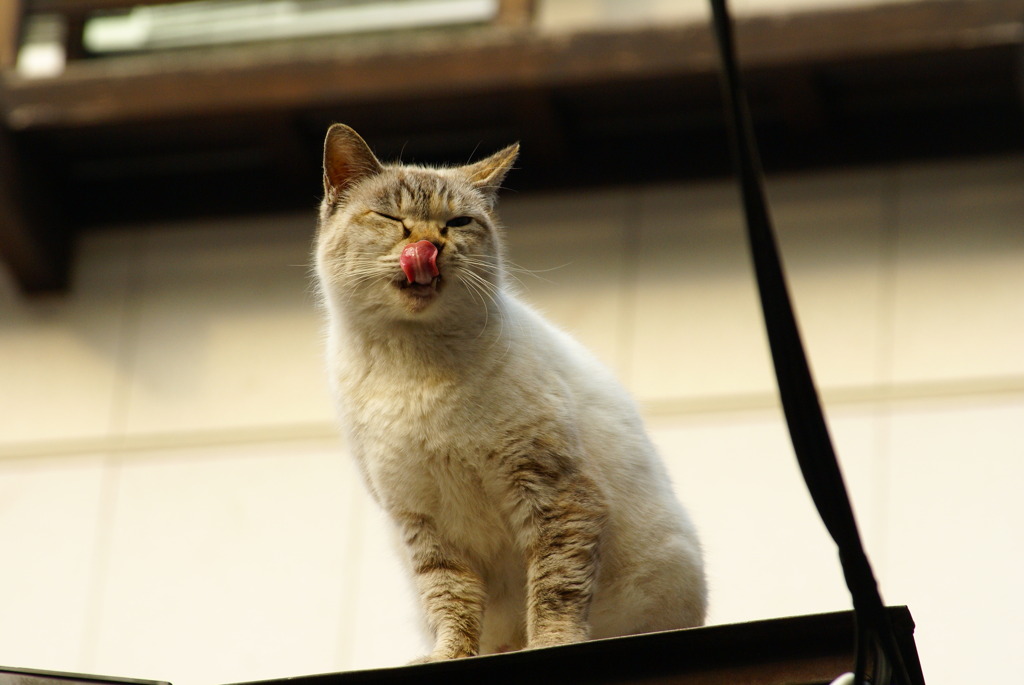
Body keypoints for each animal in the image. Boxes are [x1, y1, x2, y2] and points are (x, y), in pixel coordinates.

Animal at [315, 124, 708, 663]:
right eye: (392, 218)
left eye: (458, 222)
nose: (429, 246)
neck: (416, 366)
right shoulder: (425, 521)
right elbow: (451, 600)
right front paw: (450, 656)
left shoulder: (556, 491)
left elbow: (556, 586)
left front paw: (551, 643)